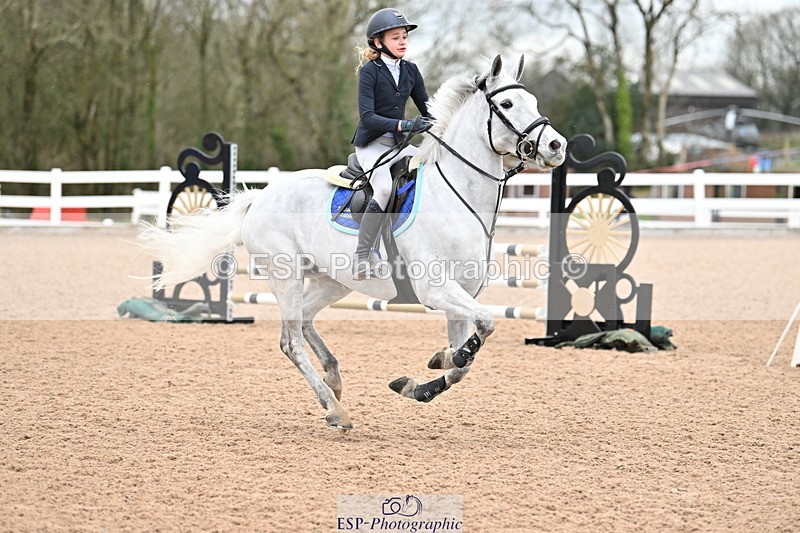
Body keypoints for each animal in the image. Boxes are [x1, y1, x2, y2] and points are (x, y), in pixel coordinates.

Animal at [139, 54, 566, 430]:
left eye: (534, 101)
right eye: (507, 104)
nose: (556, 146)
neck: (457, 196)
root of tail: (259, 198)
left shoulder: (460, 294)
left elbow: (464, 363)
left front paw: (422, 379)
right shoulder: (436, 289)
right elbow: (485, 328)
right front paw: (438, 364)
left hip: (333, 281)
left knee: (305, 321)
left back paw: (334, 378)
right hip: (287, 277)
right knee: (290, 342)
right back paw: (333, 409)